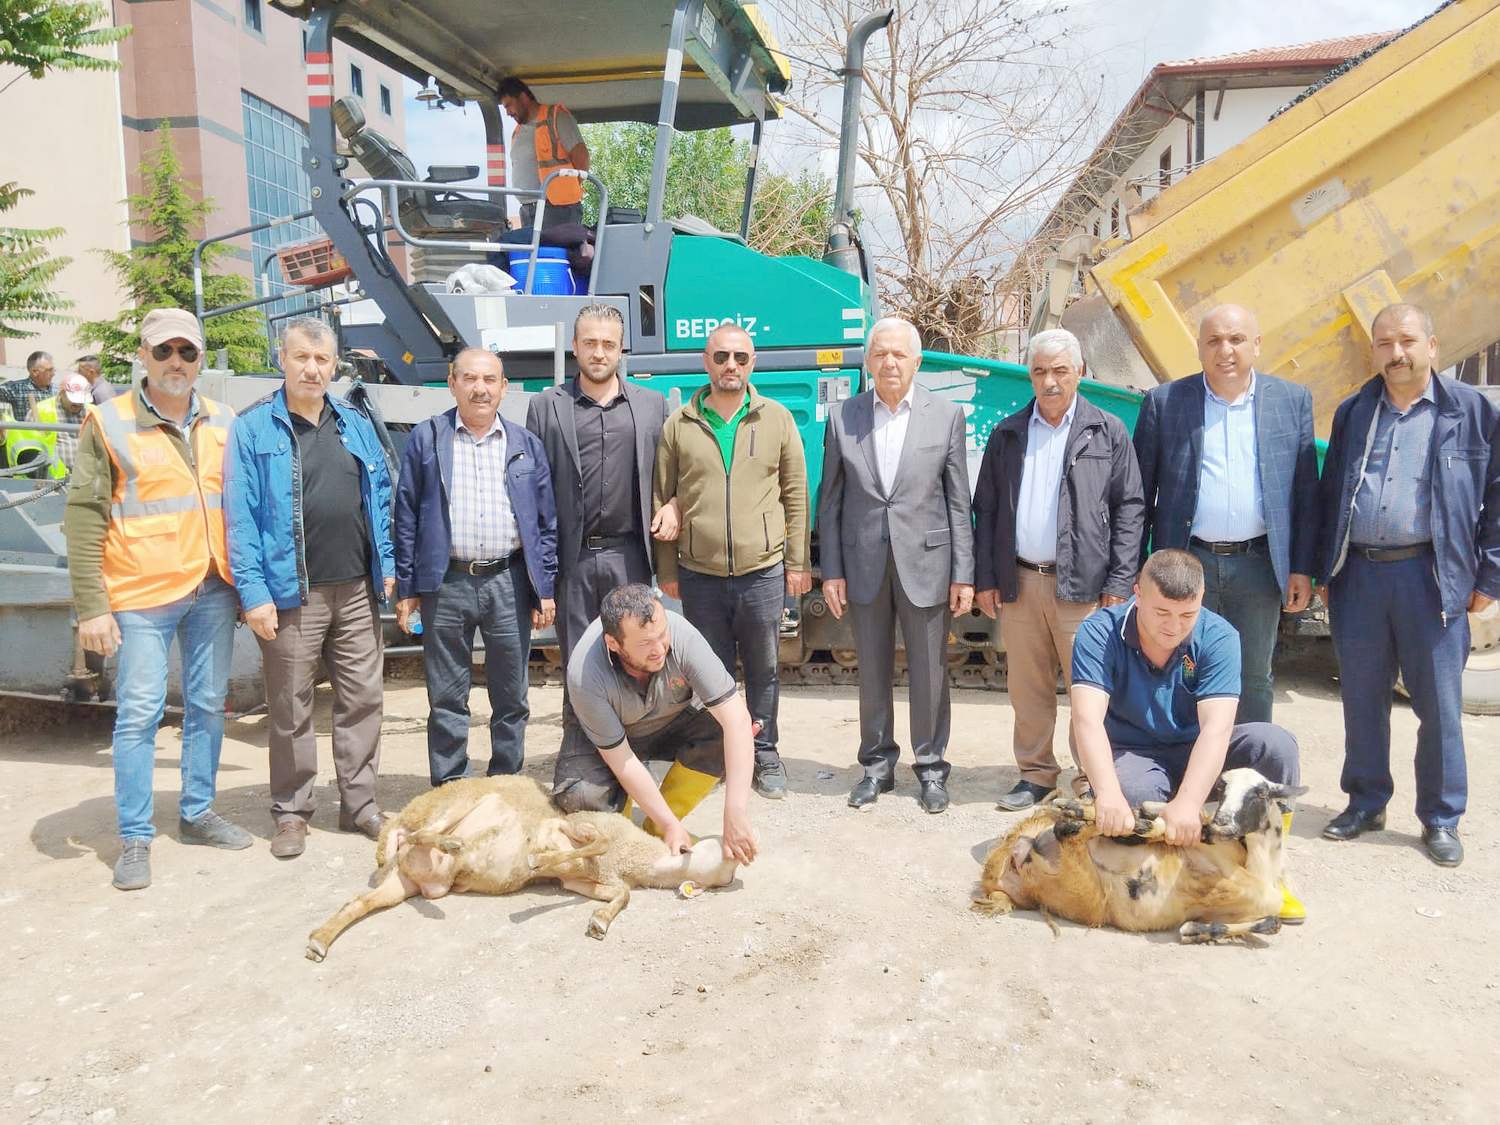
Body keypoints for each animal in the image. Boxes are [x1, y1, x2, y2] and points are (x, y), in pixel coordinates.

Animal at [307, 780, 741, 966]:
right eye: (726, 846)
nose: (745, 854)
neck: (633, 856)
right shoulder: (576, 825)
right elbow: (591, 844)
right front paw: (536, 860)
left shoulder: (582, 881)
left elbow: (621, 894)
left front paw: (599, 921)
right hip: (457, 805)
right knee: (424, 832)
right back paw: (452, 845)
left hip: (404, 881)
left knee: (359, 902)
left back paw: (319, 941)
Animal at [972, 774, 1302, 942]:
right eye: (1222, 789)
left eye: (1260, 793)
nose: (1223, 823)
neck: (1258, 868)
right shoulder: (1201, 840)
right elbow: (1159, 826)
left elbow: (1267, 923)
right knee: (1072, 831)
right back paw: (1076, 806)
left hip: (1083, 892)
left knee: (1065, 833)